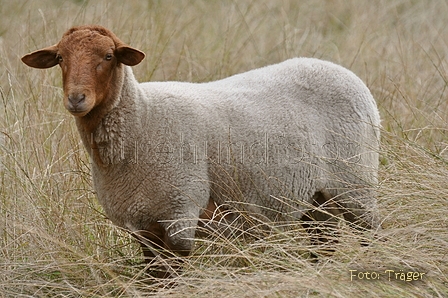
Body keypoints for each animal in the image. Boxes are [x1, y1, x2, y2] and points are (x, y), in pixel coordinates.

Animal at [22, 25, 380, 278]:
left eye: (109, 56)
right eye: (60, 59)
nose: (76, 98)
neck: (142, 117)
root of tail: (344, 72)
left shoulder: (181, 208)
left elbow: (173, 273)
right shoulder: (142, 223)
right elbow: (153, 276)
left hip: (356, 181)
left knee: (371, 233)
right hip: (315, 195)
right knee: (325, 240)